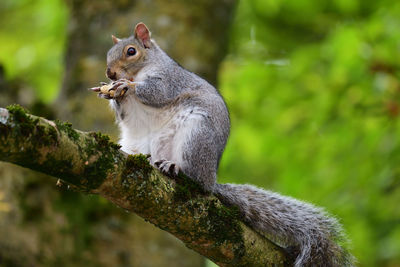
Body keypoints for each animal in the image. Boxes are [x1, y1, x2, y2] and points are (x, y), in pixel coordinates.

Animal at [92, 22, 354, 266]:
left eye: (131, 51)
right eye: (108, 53)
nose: (110, 73)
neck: (141, 70)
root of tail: (212, 179)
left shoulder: (169, 80)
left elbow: (156, 92)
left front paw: (127, 86)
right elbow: (125, 114)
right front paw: (108, 92)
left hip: (196, 137)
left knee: (197, 181)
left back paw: (175, 169)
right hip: (137, 144)